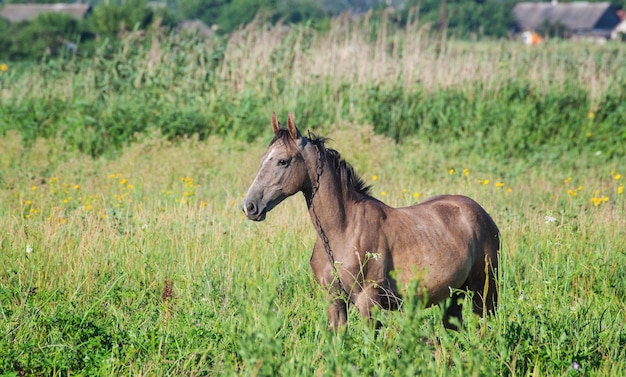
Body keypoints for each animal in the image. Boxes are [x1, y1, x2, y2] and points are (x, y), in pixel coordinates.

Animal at [239, 112, 498, 328]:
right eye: (263, 159)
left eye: (283, 161)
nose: (249, 206)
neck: (344, 231)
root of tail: (482, 215)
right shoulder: (334, 301)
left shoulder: (367, 302)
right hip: (453, 296)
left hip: (484, 294)